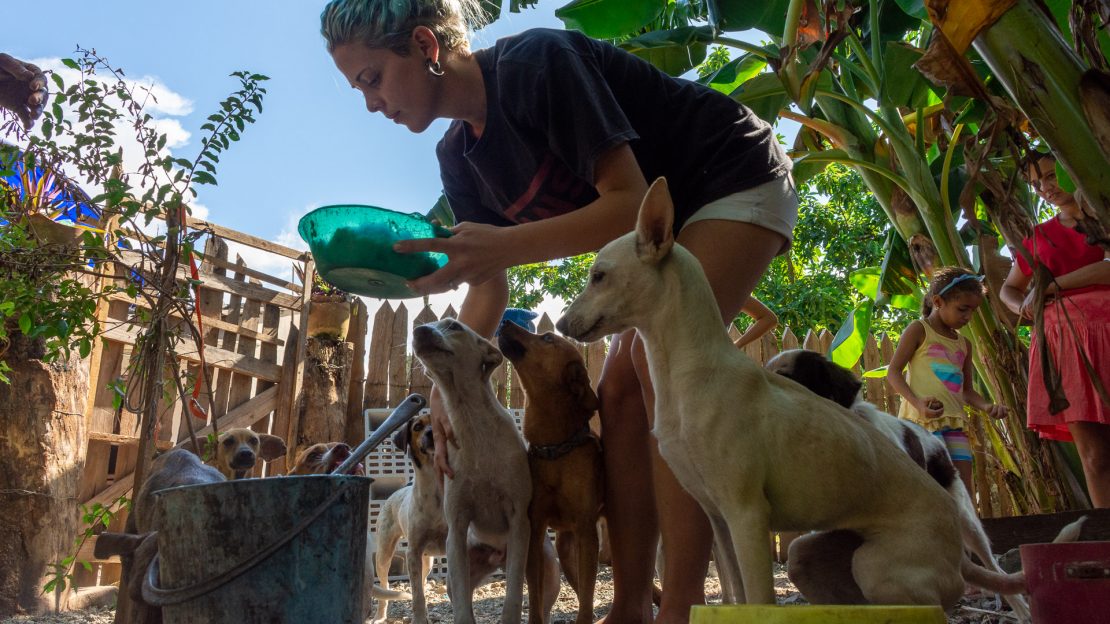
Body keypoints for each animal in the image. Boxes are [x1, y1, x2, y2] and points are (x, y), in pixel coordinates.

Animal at [412, 317, 537, 621]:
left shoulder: (519, 520)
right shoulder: (456, 529)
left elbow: (513, 595)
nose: (417, 330)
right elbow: (462, 607)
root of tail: (497, 555)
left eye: (454, 326)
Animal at [497, 319, 603, 621]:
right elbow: (535, 596)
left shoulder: (587, 532)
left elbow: (587, 601)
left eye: (546, 338)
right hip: (566, 550)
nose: (505, 320)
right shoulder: (536, 529)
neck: (555, 448)